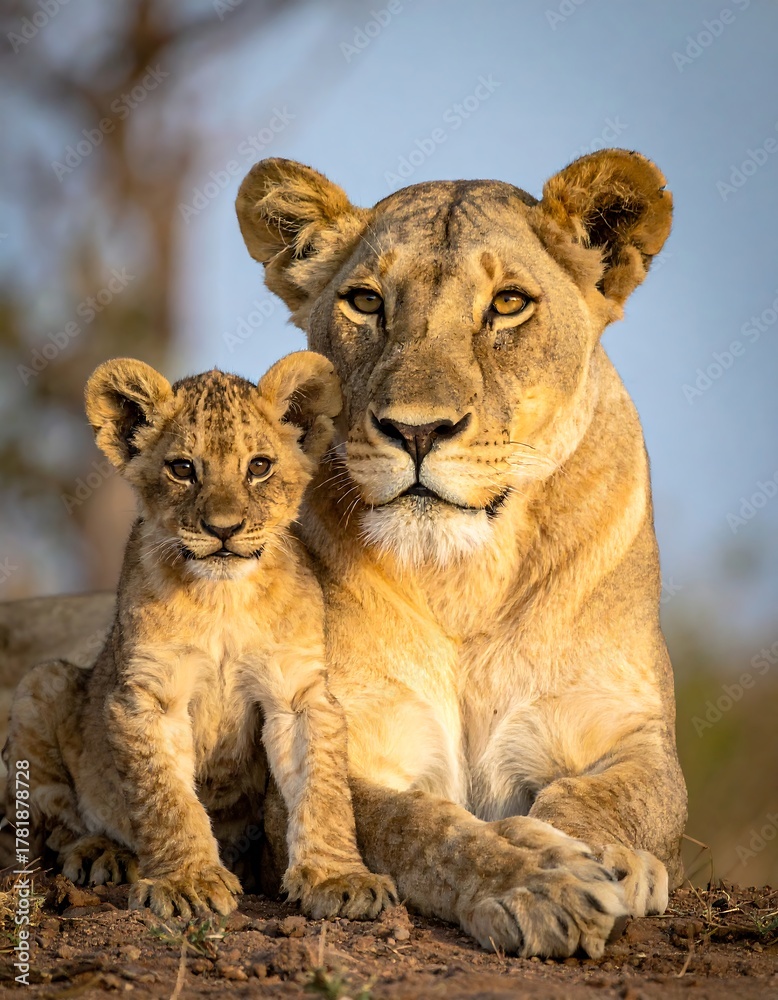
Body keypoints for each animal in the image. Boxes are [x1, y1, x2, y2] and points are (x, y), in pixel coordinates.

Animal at [2, 352, 396, 921]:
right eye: (183, 468)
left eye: (259, 466)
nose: (223, 529)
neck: (223, 598)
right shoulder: (147, 695)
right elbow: (166, 797)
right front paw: (188, 881)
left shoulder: (297, 693)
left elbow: (324, 790)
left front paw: (339, 878)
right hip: (43, 682)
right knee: (55, 822)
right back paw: (104, 852)